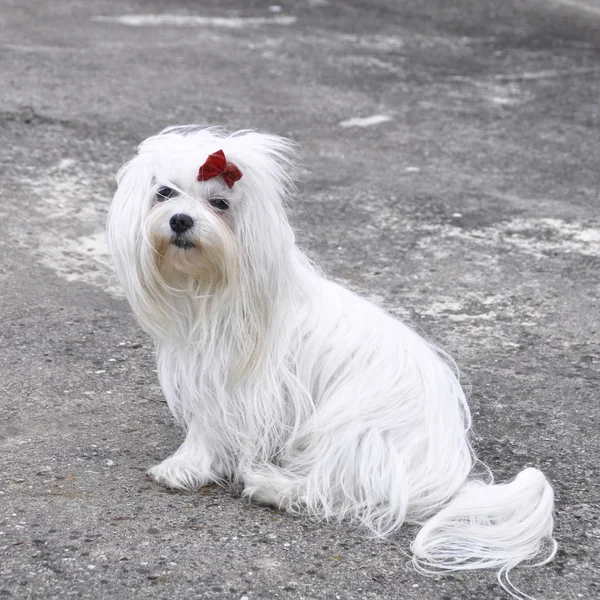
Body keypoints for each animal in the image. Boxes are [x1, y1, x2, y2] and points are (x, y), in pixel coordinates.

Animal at [105, 125, 556, 596]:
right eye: (164, 193)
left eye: (221, 204)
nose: (180, 220)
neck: (213, 288)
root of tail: (446, 473)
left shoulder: (238, 387)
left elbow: (209, 430)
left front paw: (185, 466)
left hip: (350, 426)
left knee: (332, 488)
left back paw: (271, 487)